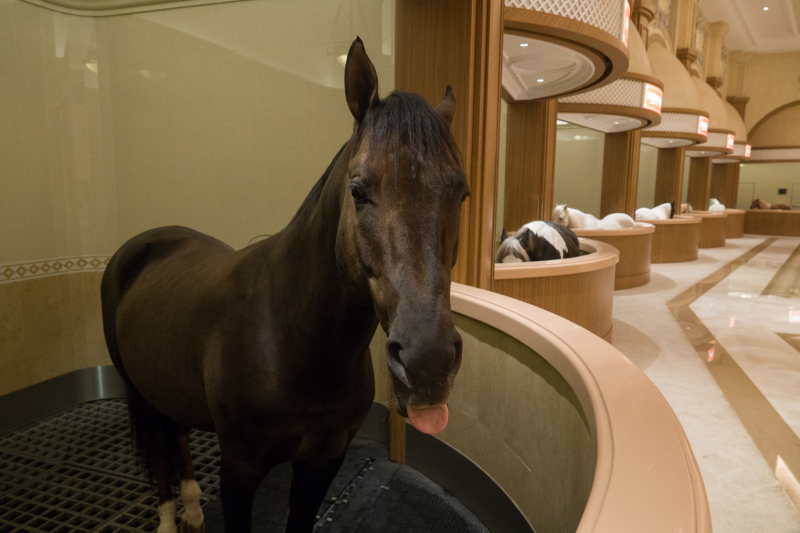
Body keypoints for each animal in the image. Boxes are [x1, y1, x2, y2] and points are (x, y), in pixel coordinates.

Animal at [103, 38, 472, 532]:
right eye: (358, 190)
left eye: (462, 193)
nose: (427, 362)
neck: (290, 340)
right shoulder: (240, 471)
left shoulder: (323, 462)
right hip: (137, 391)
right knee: (158, 445)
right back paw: (167, 518)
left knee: (175, 432)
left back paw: (195, 508)